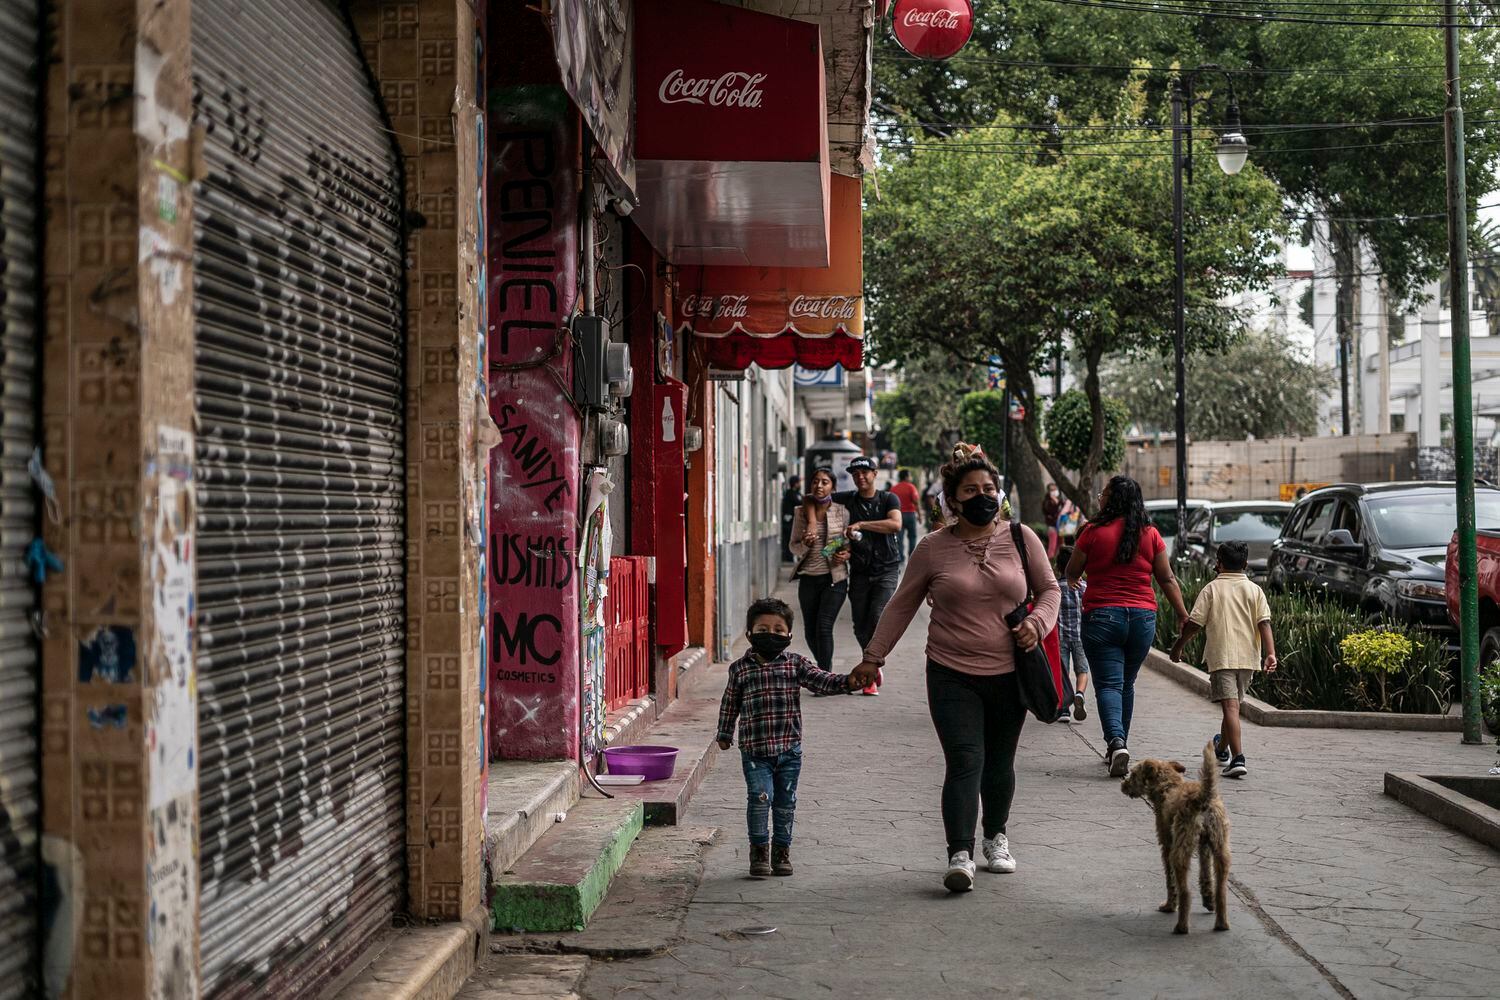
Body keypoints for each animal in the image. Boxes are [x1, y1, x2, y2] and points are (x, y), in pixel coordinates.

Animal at [1128, 740, 1230, 935]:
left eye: (1134, 773)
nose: (1123, 784)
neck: (1168, 786)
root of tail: (1201, 799)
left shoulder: (1166, 844)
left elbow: (1170, 880)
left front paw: (1169, 905)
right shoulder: (1204, 846)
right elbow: (1205, 874)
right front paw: (1208, 901)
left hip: (1180, 851)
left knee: (1185, 892)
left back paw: (1181, 926)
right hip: (1220, 846)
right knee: (1221, 889)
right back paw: (1221, 923)